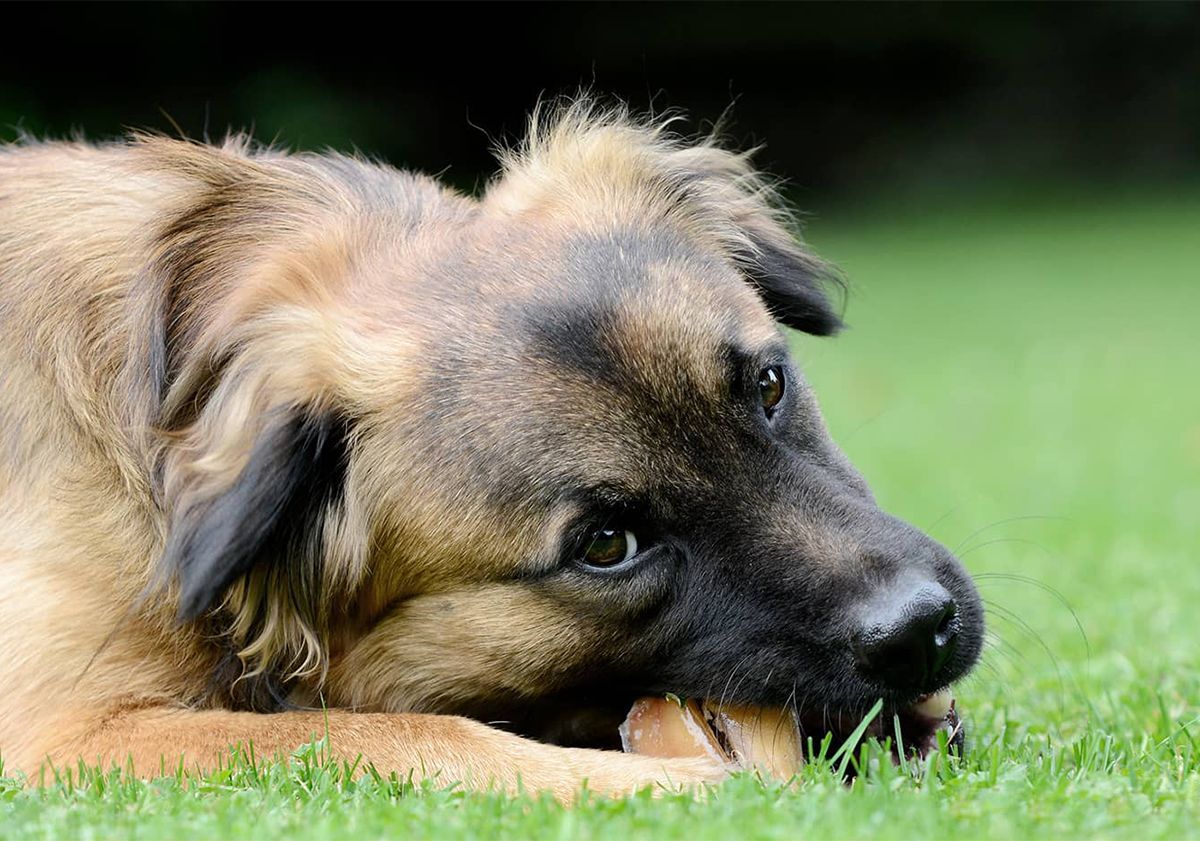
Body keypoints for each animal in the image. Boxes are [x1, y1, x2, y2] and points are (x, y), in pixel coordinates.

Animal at [0, 101, 979, 796]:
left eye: (769, 387)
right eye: (606, 545)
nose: (922, 627)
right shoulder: (69, 734)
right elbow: (392, 732)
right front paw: (697, 787)